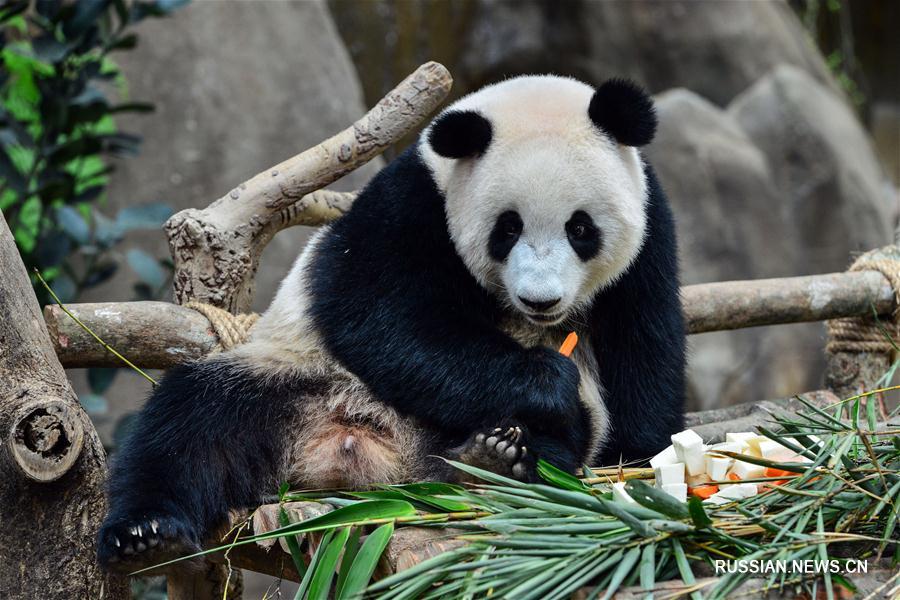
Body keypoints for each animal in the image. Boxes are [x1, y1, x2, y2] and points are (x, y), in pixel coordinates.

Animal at [96, 75, 684, 568]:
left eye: (580, 228)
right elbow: (378, 316)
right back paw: (147, 535)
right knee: (189, 425)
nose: (540, 301)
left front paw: (639, 454)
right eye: (508, 229)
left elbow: (644, 347)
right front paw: (547, 378)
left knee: (557, 442)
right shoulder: (413, 200)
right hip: (288, 379)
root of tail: (363, 460)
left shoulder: (650, 232)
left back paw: (488, 459)